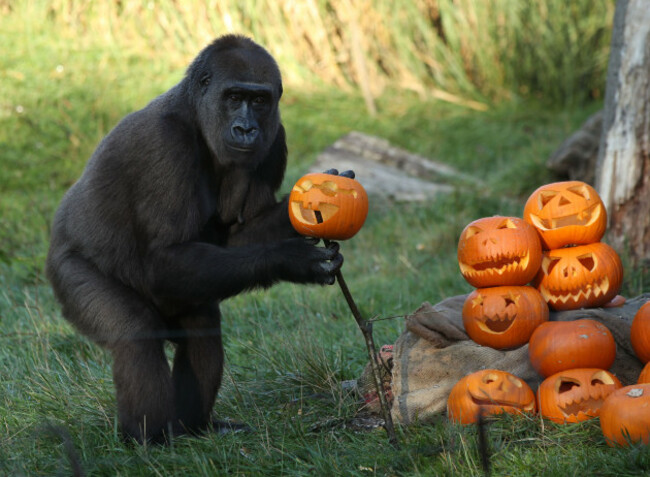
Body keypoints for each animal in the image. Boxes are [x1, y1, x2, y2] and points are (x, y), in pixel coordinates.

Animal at [45, 33, 344, 442]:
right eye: (234, 97)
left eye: (259, 100)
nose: (246, 129)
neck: (194, 112)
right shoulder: (165, 144)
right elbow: (164, 256)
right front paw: (291, 260)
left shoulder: (275, 136)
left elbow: (239, 239)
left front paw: (299, 211)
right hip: (66, 270)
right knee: (136, 333)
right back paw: (150, 439)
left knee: (202, 324)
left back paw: (193, 427)